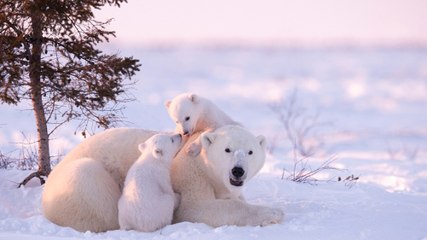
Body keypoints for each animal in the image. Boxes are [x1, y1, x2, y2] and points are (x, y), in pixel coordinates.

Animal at [41, 126, 284, 232]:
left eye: (250, 152)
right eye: (227, 149)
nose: (238, 171)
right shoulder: (190, 172)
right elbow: (197, 208)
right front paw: (273, 213)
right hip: (80, 184)